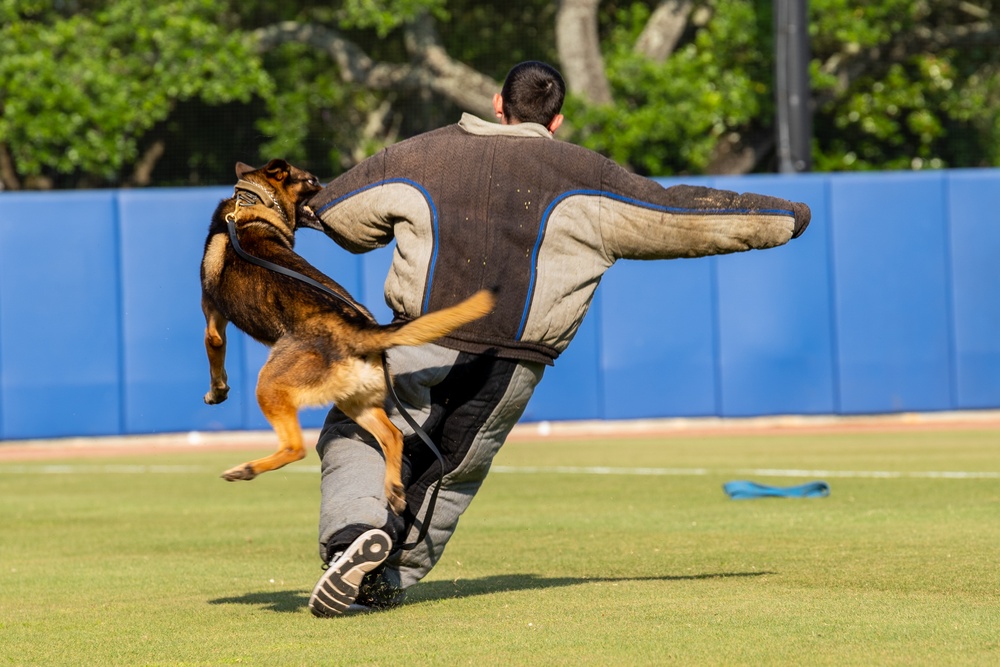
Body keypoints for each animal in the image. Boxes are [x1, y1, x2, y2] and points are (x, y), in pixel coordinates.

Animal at [197, 159, 494, 516]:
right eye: (312, 180)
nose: (330, 190)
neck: (251, 203)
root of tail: (360, 331)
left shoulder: (213, 317)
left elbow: (214, 349)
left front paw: (217, 392)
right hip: (354, 399)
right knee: (393, 435)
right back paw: (393, 490)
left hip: (270, 385)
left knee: (296, 447)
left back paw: (247, 468)